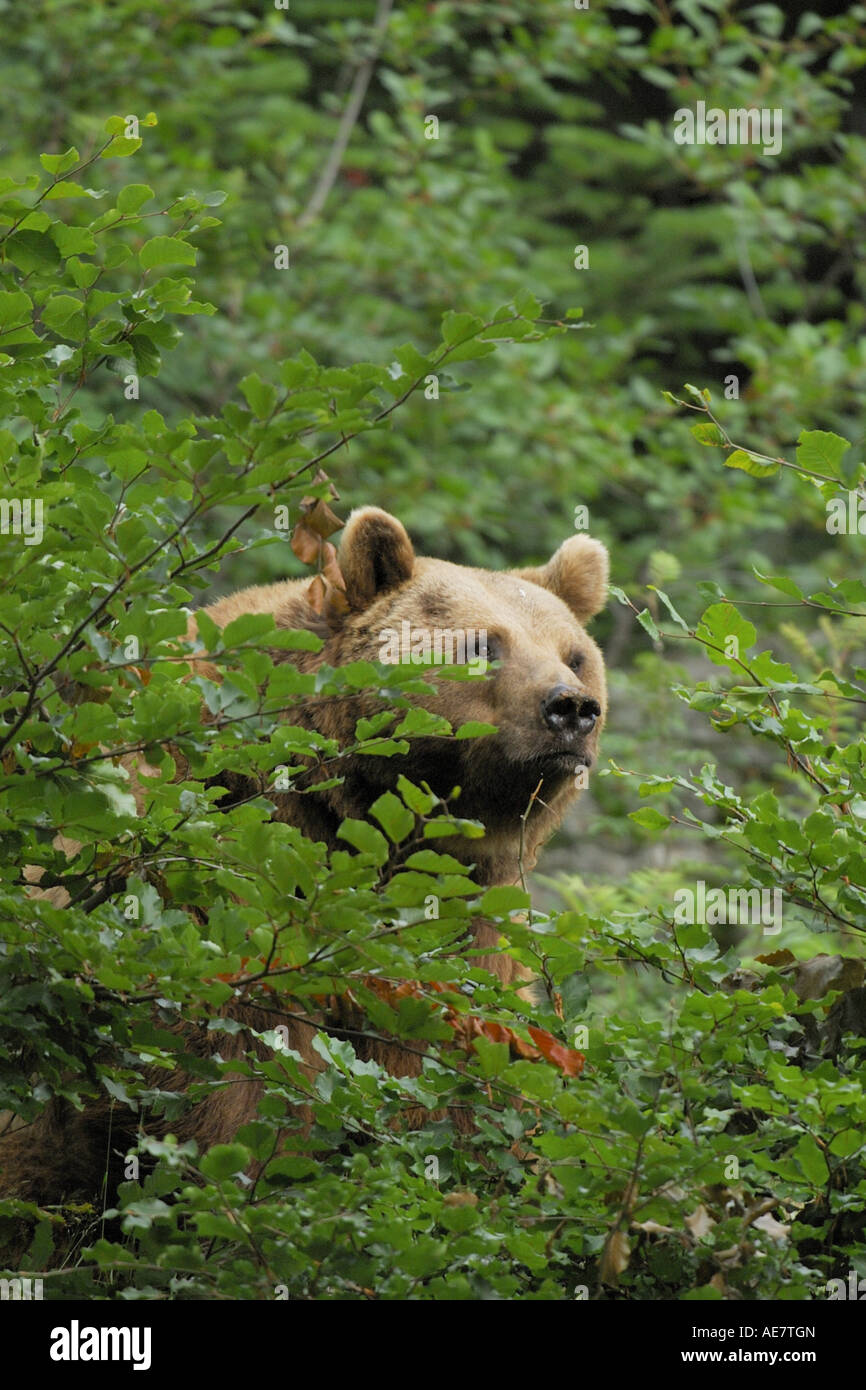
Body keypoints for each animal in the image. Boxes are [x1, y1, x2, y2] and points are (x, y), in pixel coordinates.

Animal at [0, 507, 608, 1223]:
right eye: (483, 645)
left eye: (574, 653)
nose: (570, 708)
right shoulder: (227, 864)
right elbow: (246, 1060)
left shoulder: (463, 905)